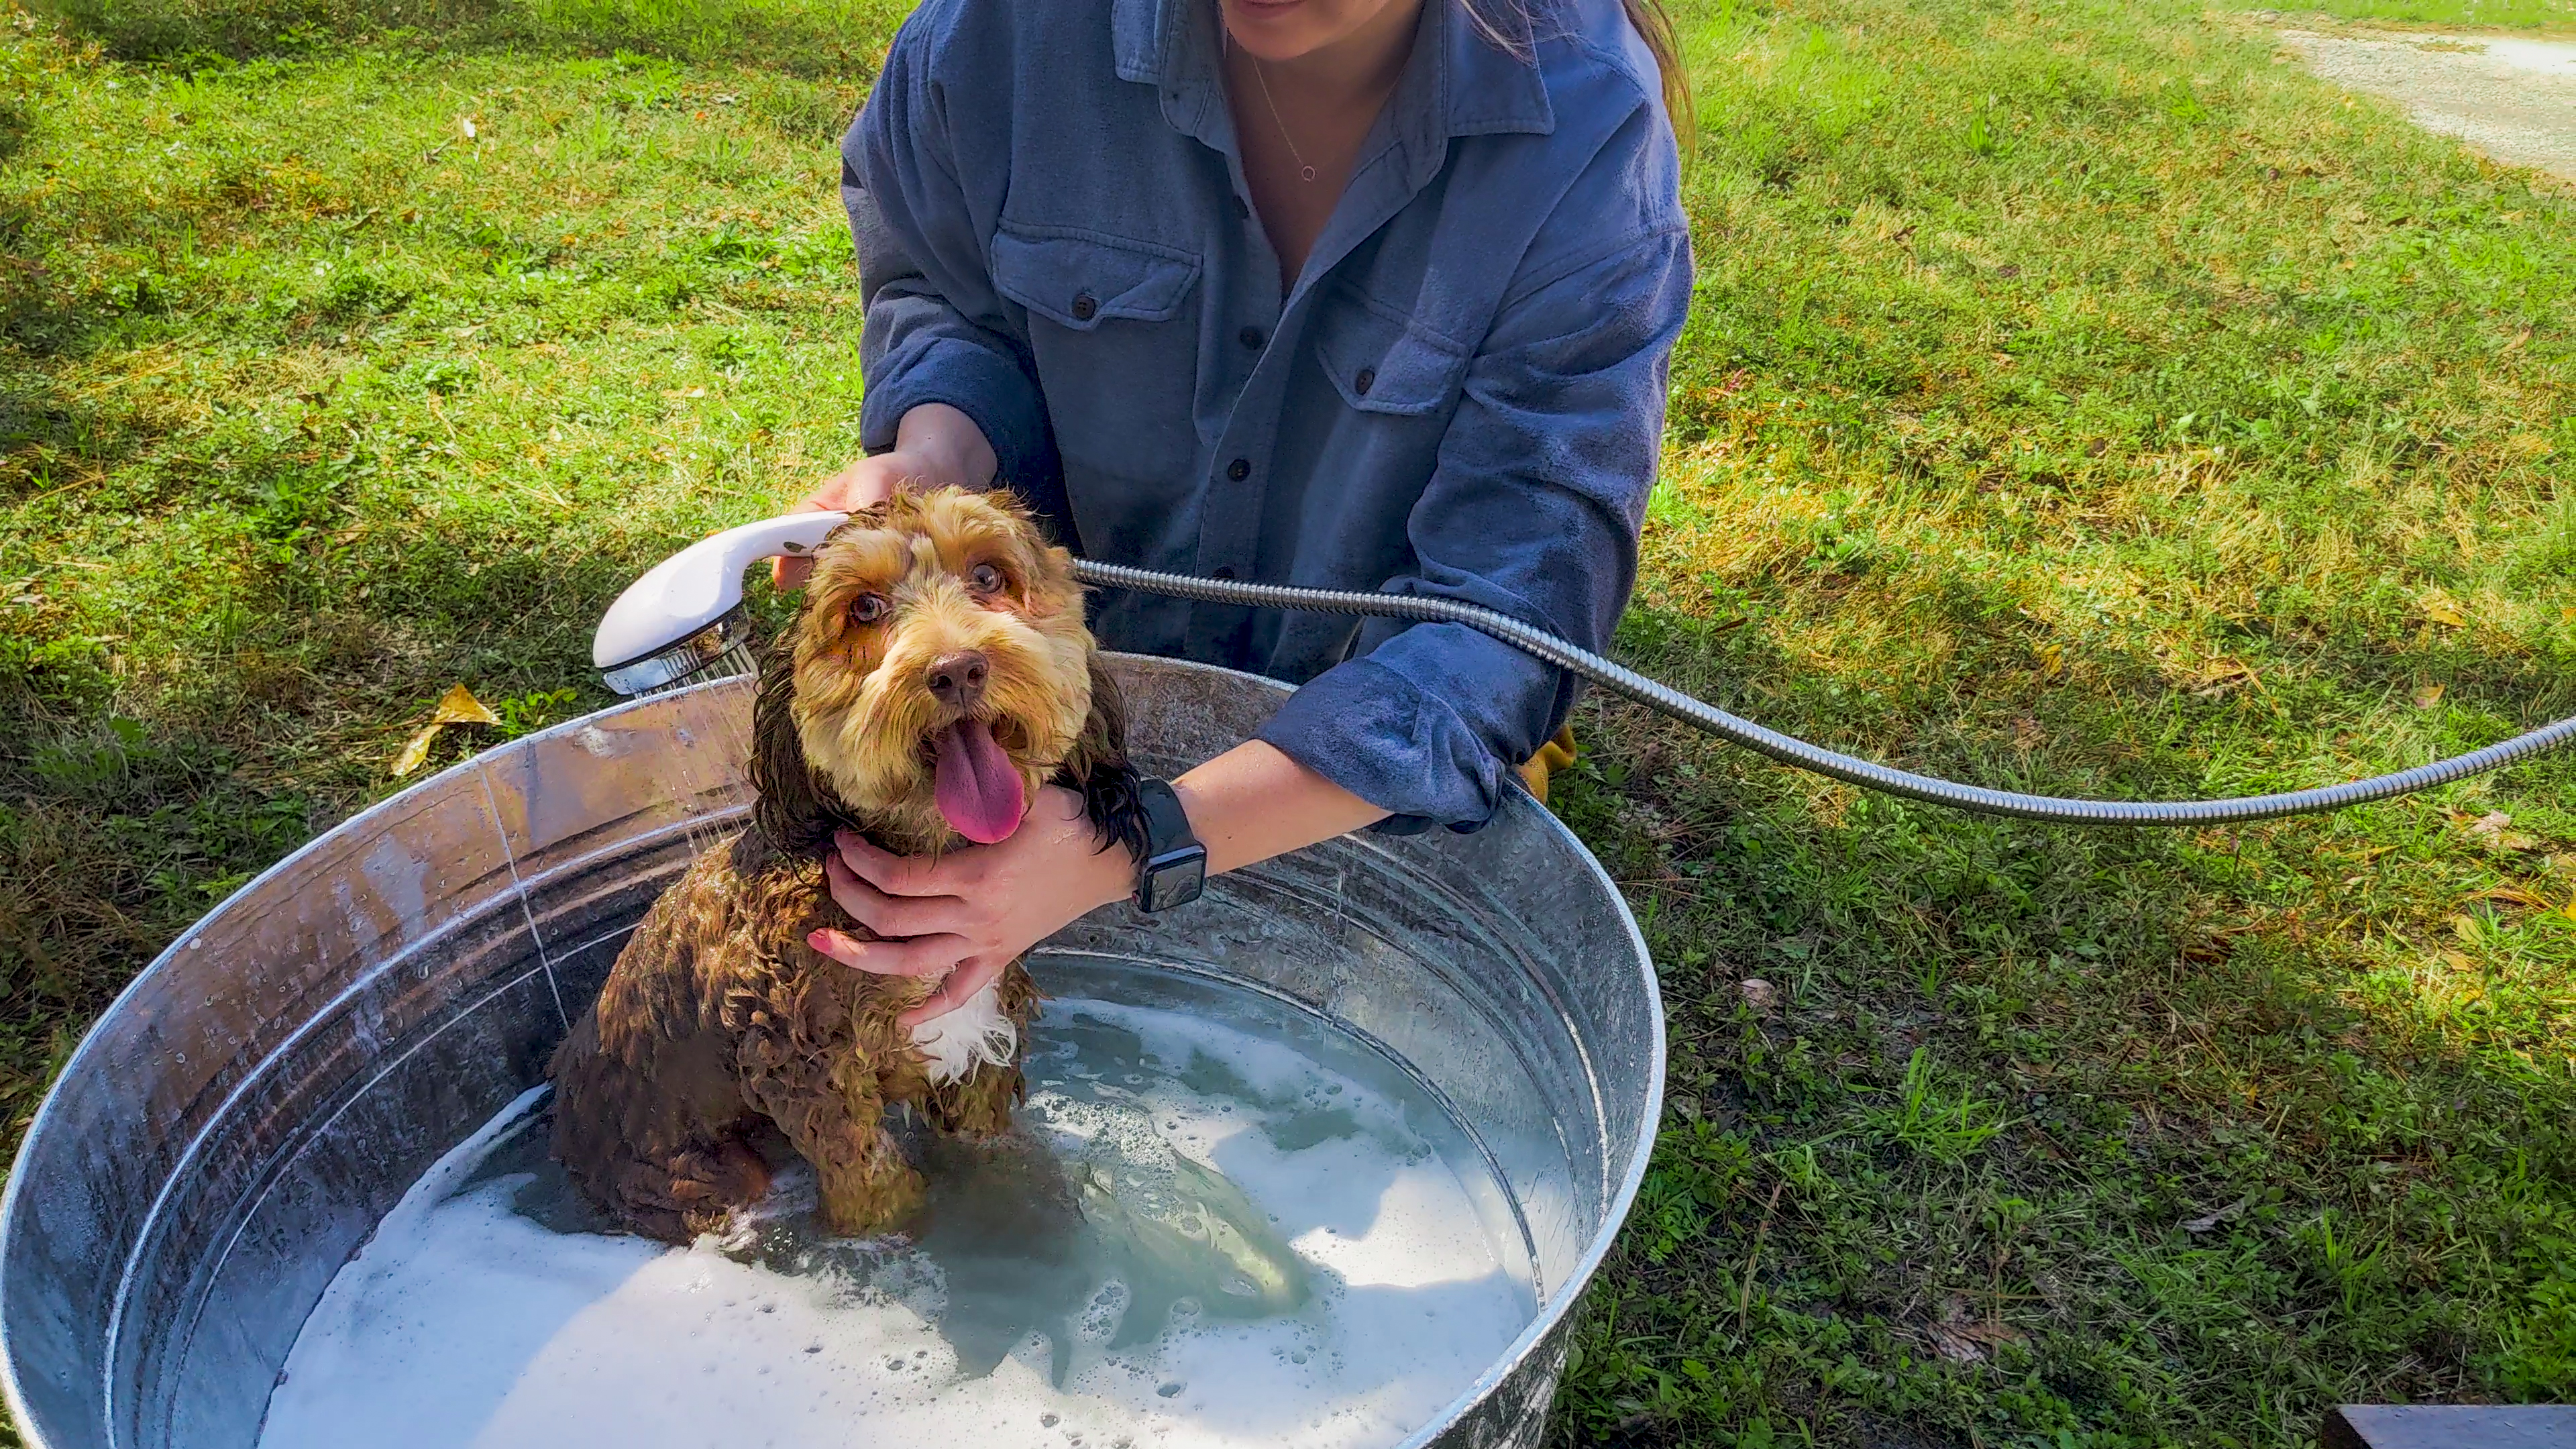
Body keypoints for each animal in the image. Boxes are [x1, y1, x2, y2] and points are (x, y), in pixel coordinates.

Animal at [548, 484, 1143, 1242]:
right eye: (863, 608)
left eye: (988, 575)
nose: (957, 669)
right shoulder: (804, 1069)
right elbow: (876, 1187)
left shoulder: (979, 1048)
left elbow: (990, 1150)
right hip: (693, 1176)